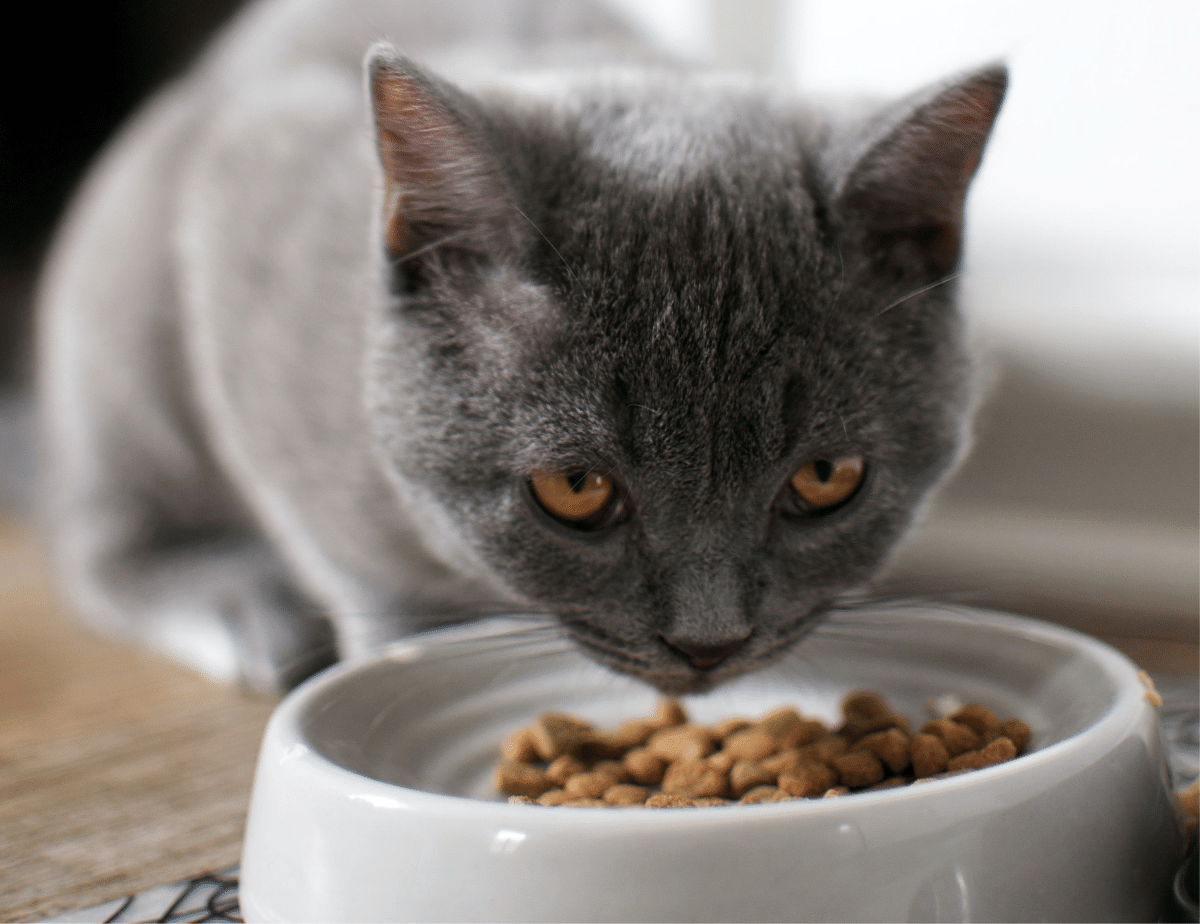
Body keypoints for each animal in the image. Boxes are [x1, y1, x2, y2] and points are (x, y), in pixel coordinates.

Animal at [35, 0, 1003, 691]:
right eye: (575, 489)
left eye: (826, 479)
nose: (708, 644)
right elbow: (360, 570)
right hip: (123, 305)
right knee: (103, 539)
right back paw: (236, 609)